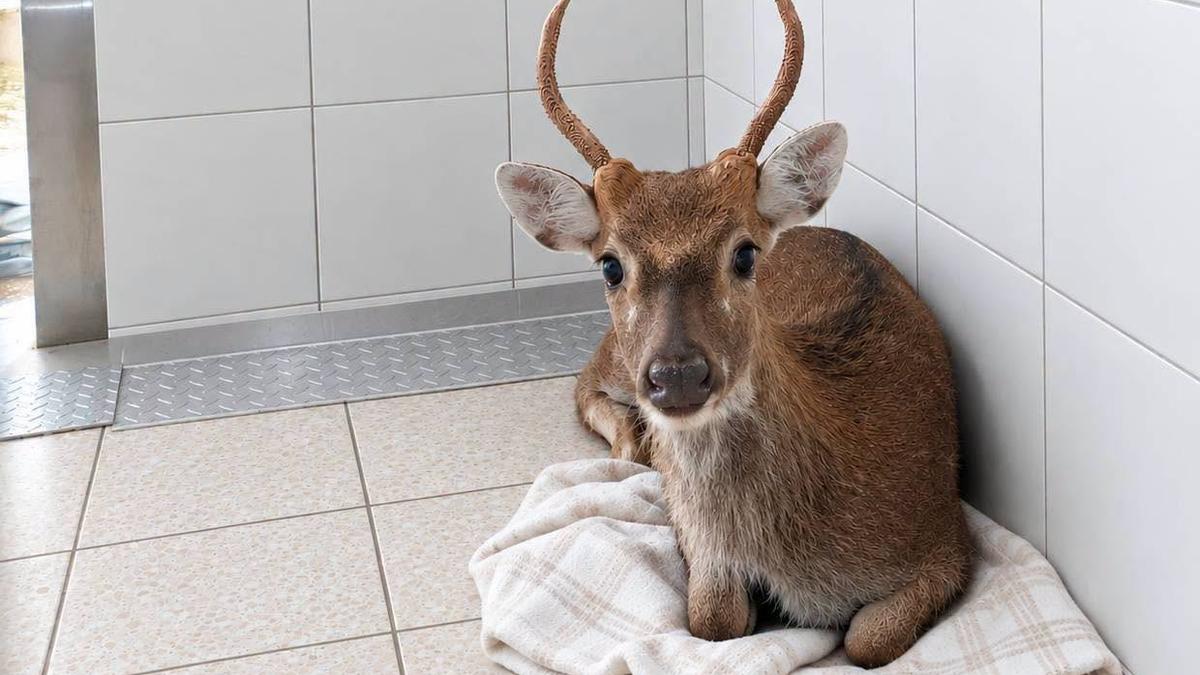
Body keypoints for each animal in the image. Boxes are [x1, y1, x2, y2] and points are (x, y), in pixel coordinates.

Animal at [494, 0, 972, 667]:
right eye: (611, 264)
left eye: (744, 253)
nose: (677, 375)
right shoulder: (708, 559)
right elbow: (713, 620)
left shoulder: (945, 537)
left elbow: (866, 639)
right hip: (616, 361)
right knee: (587, 385)